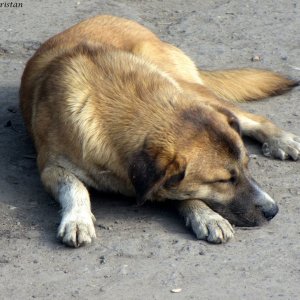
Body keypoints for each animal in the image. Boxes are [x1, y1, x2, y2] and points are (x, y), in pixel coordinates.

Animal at [19, 15, 300, 247]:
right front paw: (77, 219)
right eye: (222, 181)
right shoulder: (50, 168)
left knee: (251, 117)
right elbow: (75, 187)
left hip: (185, 85)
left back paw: (282, 140)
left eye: (247, 166)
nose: (273, 210)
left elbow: (183, 193)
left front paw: (205, 214)